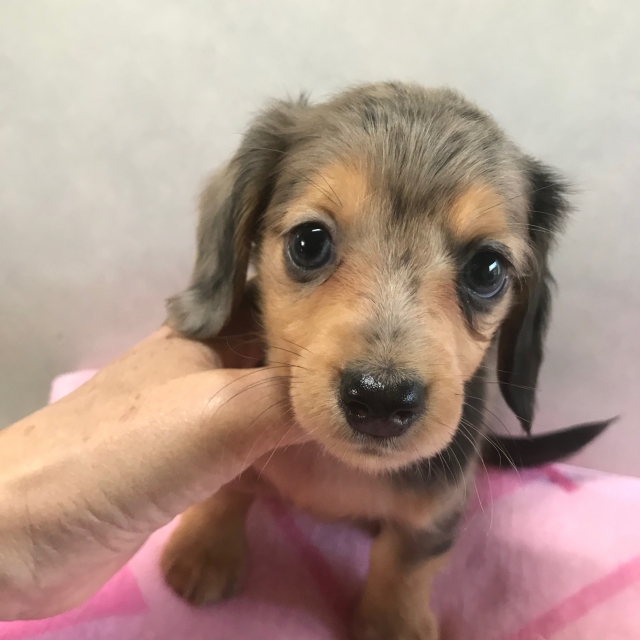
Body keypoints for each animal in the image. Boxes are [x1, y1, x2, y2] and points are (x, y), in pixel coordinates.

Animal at [161, 82, 612, 640]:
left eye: (488, 269)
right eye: (309, 242)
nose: (380, 399)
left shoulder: (438, 508)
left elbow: (404, 565)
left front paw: (392, 624)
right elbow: (227, 488)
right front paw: (205, 551)